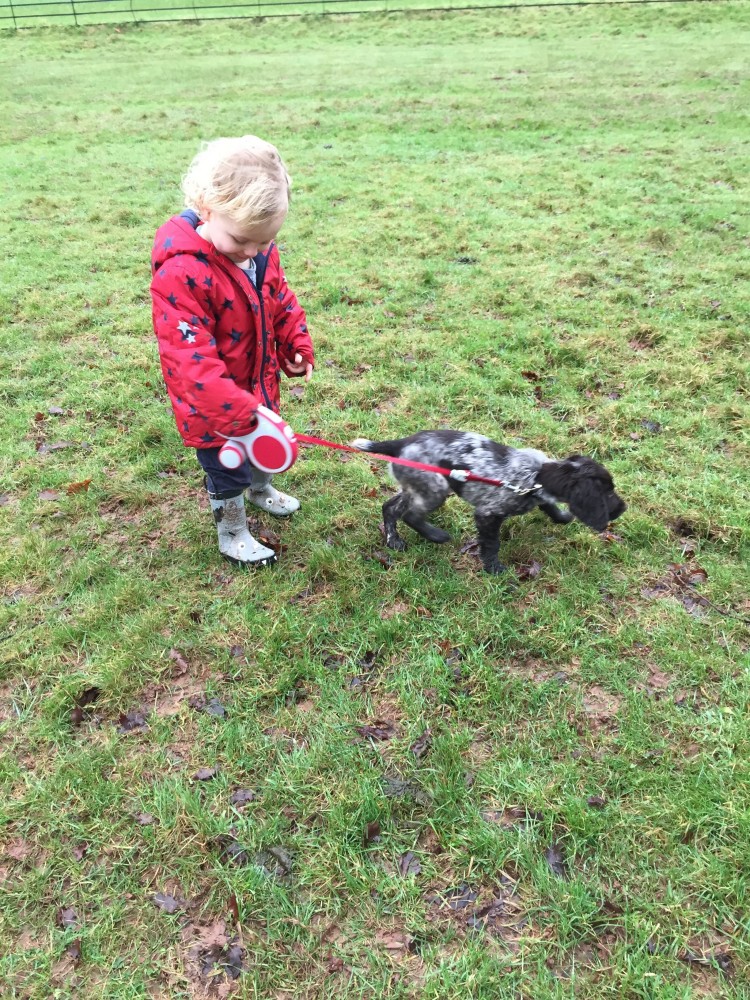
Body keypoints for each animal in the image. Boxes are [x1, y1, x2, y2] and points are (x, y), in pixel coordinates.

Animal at [352, 432, 628, 580]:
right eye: (608, 492)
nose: (623, 509)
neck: (537, 475)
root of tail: (401, 443)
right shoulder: (488, 513)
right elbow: (492, 543)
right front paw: (494, 568)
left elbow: (548, 505)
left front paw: (562, 517)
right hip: (434, 487)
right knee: (410, 515)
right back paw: (436, 535)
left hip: (415, 486)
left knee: (390, 507)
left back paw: (394, 540)